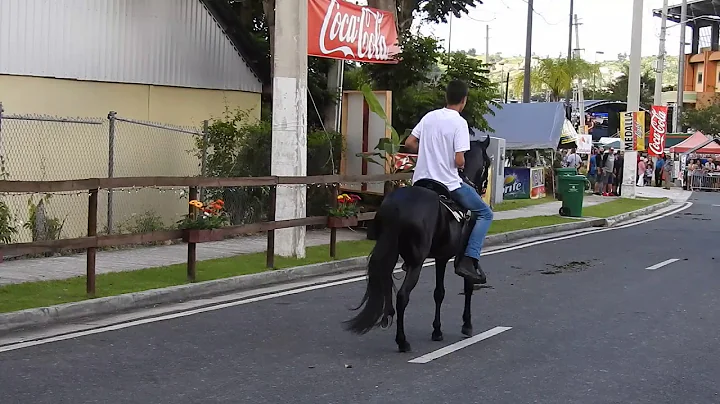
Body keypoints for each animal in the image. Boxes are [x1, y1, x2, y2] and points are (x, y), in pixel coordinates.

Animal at [344, 134, 492, 352]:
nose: (483, 188)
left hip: (391, 254)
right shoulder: (463, 256)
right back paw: (402, 341)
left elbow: (439, 293)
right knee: (403, 296)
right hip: (416, 262)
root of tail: (397, 207)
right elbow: (468, 287)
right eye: (488, 162)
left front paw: (437, 331)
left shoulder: (441, 257)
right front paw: (467, 325)